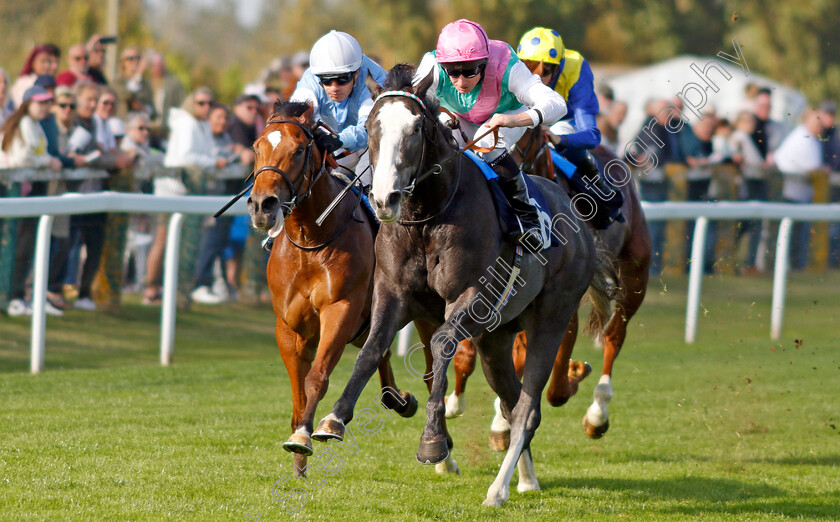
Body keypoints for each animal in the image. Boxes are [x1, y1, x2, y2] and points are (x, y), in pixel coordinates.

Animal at [246, 100, 450, 476]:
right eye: (257, 146)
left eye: (299, 149)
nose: (262, 205)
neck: (311, 241)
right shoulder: (288, 327)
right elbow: (298, 394)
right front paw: (298, 459)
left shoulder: (340, 309)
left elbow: (317, 377)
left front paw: (304, 437)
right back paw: (397, 399)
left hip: (422, 316)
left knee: (430, 372)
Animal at [446, 124, 648, 444]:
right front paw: (458, 403)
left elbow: (553, 375)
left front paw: (571, 376)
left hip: (635, 274)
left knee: (614, 335)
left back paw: (598, 412)